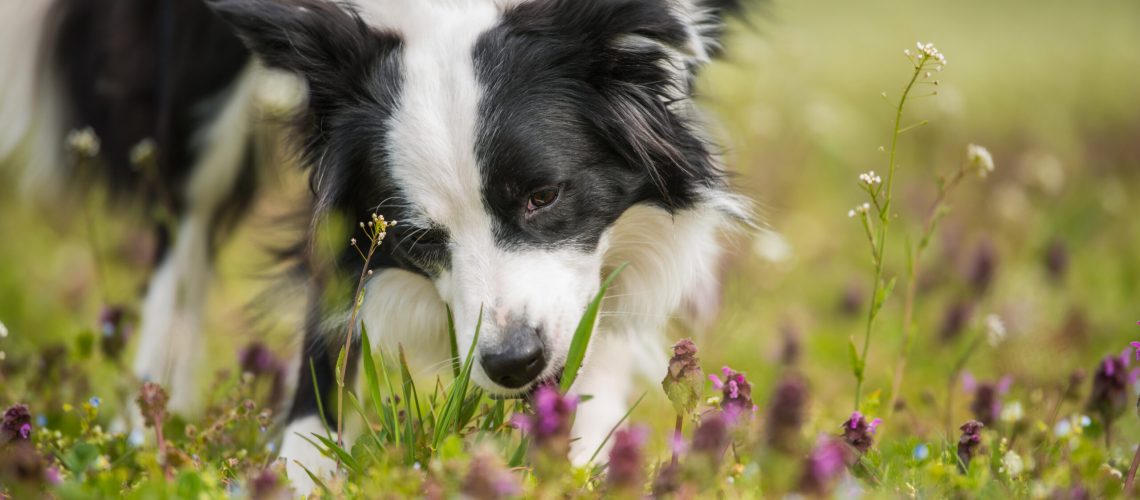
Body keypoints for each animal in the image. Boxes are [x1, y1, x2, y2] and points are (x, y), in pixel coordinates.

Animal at [4, 0, 752, 494]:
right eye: (420, 238)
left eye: (543, 195)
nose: (513, 365)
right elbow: (328, 288)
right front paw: (300, 466)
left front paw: (573, 453)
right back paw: (149, 421)